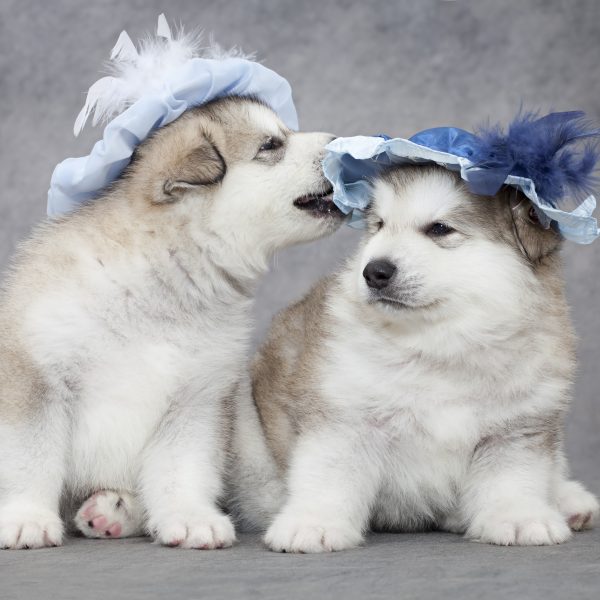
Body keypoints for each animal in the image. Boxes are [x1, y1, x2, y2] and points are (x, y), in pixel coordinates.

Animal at [232, 164, 596, 552]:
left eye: (439, 229)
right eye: (379, 225)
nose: (374, 271)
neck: (438, 345)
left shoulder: (517, 427)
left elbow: (514, 479)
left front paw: (519, 518)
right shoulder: (345, 417)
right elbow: (328, 475)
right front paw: (313, 523)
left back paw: (569, 501)